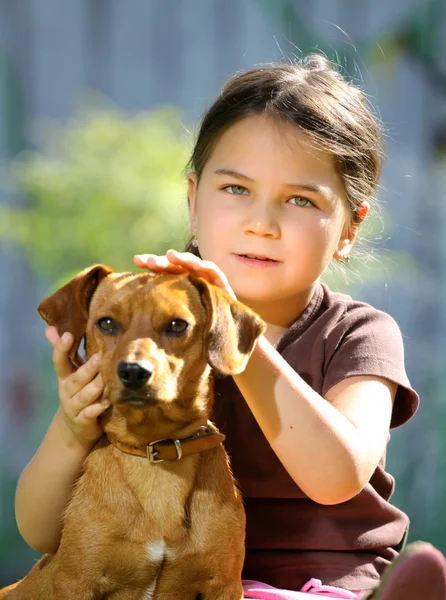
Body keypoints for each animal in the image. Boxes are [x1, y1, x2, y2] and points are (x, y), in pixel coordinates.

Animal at [2, 266, 264, 600]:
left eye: (177, 325)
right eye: (107, 323)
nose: (134, 371)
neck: (155, 446)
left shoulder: (224, 584)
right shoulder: (76, 581)